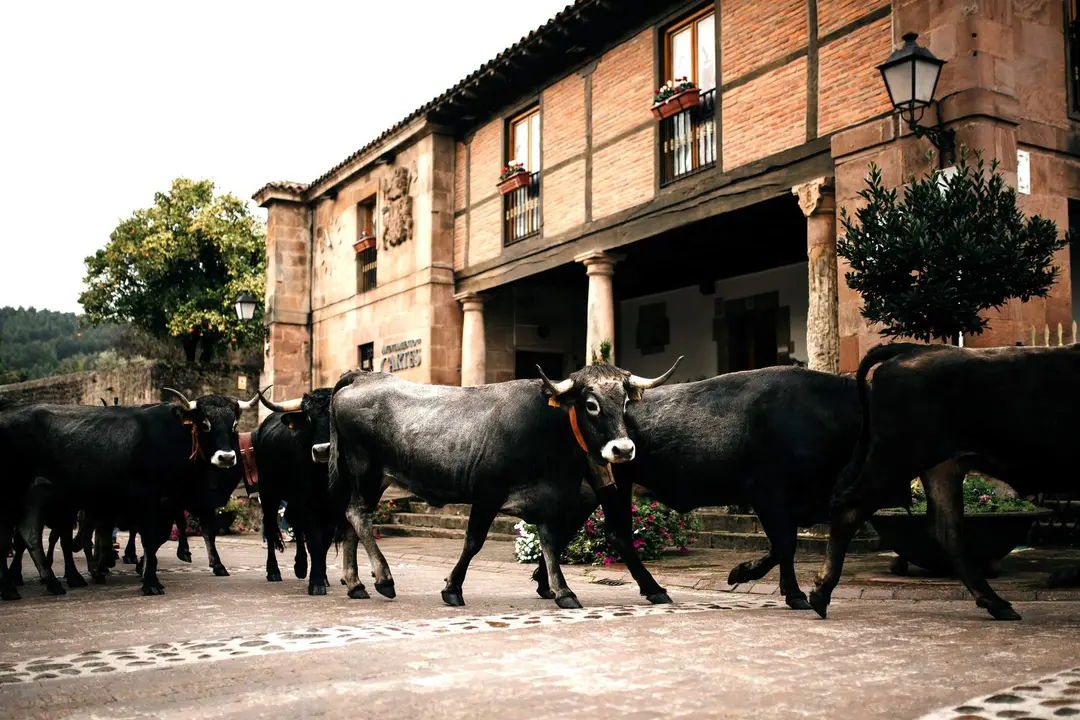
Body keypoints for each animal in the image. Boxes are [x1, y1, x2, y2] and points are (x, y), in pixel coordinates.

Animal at [0, 386, 259, 600]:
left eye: (234, 425)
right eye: (204, 424)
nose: (226, 457)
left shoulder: (170, 504)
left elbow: (161, 538)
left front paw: (145, 570)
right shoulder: (148, 501)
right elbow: (150, 539)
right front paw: (150, 582)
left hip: (42, 498)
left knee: (30, 533)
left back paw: (54, 582)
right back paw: (13, 586)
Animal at [328, 360, 678, 608]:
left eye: (625, 401)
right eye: (590, 404)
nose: (623, 449)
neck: (547, 427)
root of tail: (363, 376)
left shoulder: (551, 499)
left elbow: (550, 544)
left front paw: (562, 590)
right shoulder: (487, 493)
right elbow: (473, 542)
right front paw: (452, 588)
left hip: (373, 479)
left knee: (351, 522)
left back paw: (356, 584)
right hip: (364, 469)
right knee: (357, 515)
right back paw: (383, 579)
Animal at [531, 369, 868, 613]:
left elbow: (789, 547)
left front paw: (795, 594)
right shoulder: (766, 493)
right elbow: (784, 544)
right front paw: (742, 574)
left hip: (592, 491)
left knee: (562, 531)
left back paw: (547, 584)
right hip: (615, 487)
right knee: (617, 535)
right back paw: (653, 589)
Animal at [812, 343, 1080, 621]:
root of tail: (916, 348)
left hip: (942, 467)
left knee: (946, 529)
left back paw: (995, 603)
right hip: (898, 458)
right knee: (849, 507)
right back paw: (821, 593)